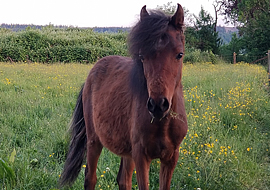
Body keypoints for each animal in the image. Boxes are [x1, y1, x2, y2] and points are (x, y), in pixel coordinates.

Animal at [59, 3, 187, 190]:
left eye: (180, 54)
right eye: (142, 56)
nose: (158, 105)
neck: (162, 123)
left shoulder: (171, 157)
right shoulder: (141, 156)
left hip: (127, 152)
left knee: (123, 180)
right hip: (94, 140)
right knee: (90, 177)